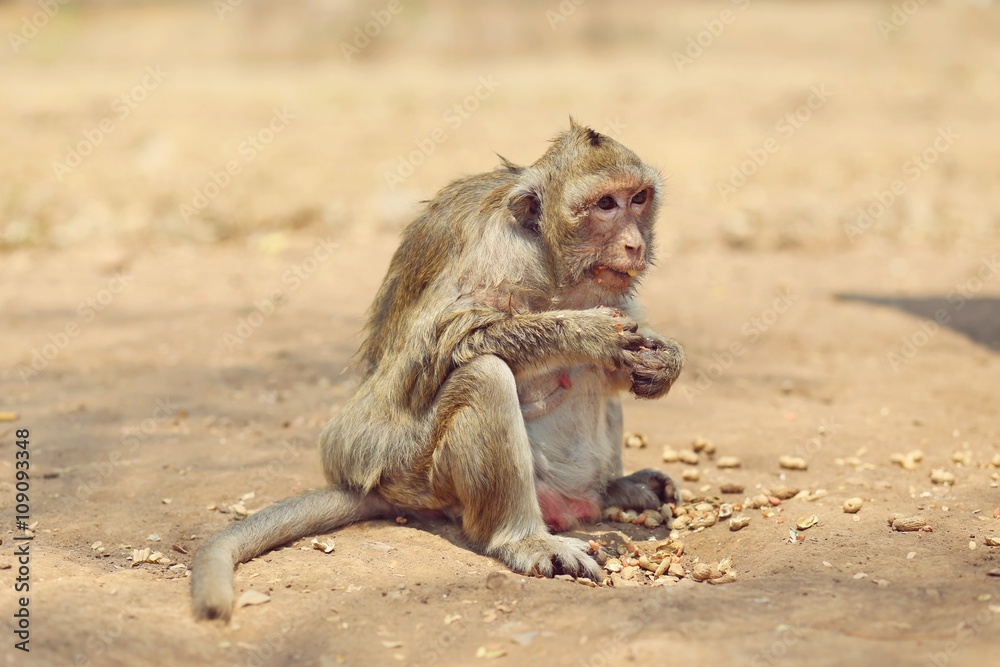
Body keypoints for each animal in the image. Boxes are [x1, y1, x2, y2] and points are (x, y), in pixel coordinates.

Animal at [191, 120, 685, 621]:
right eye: (605, 205)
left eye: (638, 198)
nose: (635, 244)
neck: (548, 261)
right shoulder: (494, 254)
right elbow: (440, 348)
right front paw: (586, 334)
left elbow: (624, 351)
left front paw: (663, 360)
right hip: (422, 475)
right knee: (484, 376)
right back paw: (522, 539)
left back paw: (615, 488)